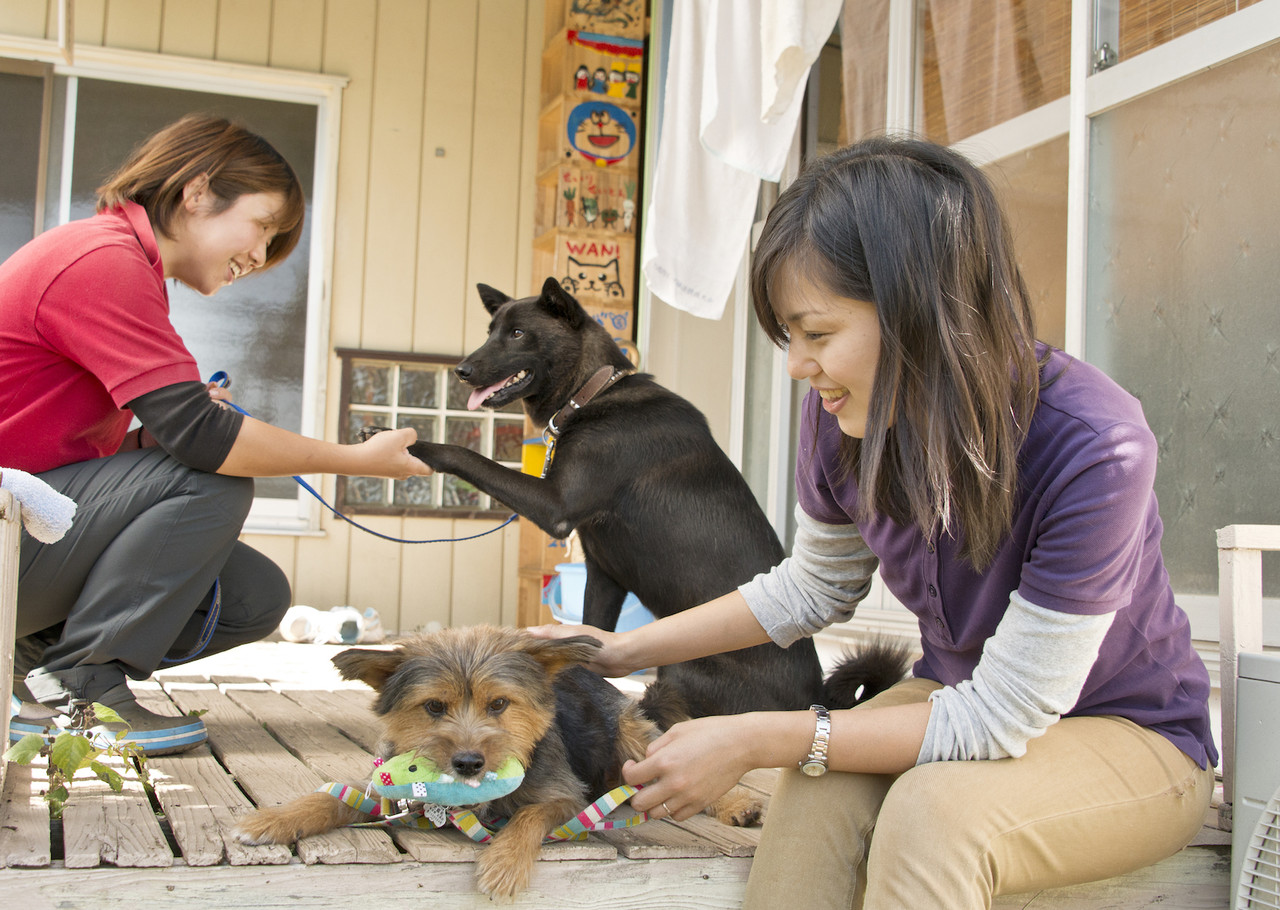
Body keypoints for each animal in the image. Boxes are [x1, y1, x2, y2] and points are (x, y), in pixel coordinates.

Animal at [232, 629, 757, 901]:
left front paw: (504, 862)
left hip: (631, 736)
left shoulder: (565, 797)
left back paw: (738, 805)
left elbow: (529, 815)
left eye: (499, 704)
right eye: (434, 707)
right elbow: (329, 797)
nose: (468, 762)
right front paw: (273, 820)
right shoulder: (387, 791)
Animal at [373, 279, 906, 726]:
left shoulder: (553, 505)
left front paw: (410, 444)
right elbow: (589, 637)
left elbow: (467, 454)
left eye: (519, 333)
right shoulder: (604, 578)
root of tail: (815, 701)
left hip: (681, 669)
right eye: (491, 331)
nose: (462, 371)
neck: (591, 394)